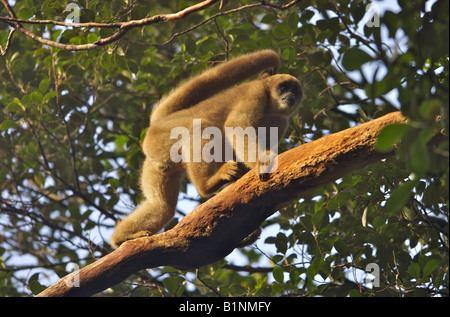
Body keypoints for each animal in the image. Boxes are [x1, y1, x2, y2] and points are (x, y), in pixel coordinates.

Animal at [110, 48, 304, 247]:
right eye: (284, 87)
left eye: (295, 90)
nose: (291, 95)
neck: (271, 106)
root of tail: (159, 122)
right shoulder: (255, 92)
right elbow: (236, 126)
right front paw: (262, 162)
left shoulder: (282, 120)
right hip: (161, 139)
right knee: (198, 127)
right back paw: (207, 185)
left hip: (156, 162)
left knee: (162, 207)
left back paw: (122, 238)